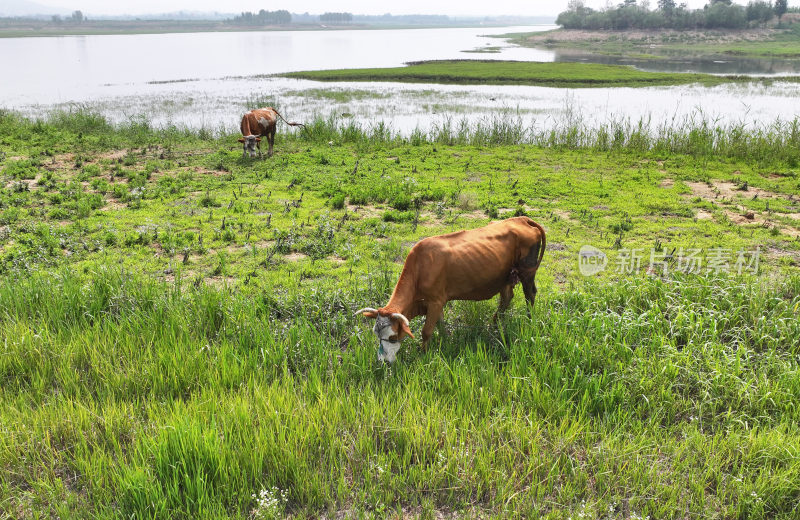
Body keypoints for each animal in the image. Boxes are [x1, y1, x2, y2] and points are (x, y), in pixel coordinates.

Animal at [354, 215, 548, 362]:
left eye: (393, 337)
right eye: (376, 334)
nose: (384, 361)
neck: (420, 267)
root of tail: (522, 219)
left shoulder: (435, 300)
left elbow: (426, 331)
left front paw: (423, 354)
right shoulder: (436, 302)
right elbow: (440, 325)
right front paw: (445, 342)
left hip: (527, 271)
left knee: (530, 295)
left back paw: (529, 320)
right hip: (506, 276)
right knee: (507, 297)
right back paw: (494, 324)